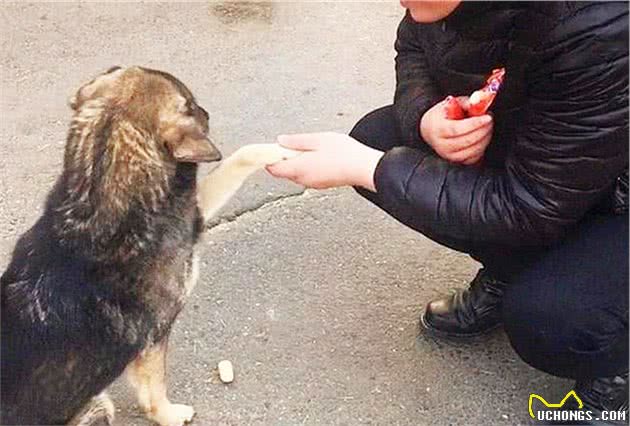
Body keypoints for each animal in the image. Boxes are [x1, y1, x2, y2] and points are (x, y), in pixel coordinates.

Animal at [1, 66, 300, 426]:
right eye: (192, 105)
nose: (207, 113)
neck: (96, 200)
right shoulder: (154, 339)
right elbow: (155, 390)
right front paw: (169, 414)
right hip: (97, 405)